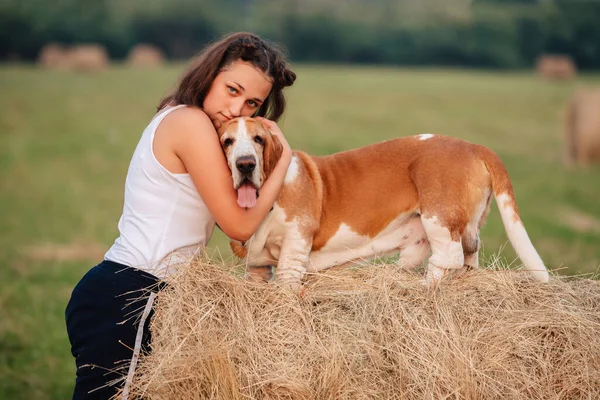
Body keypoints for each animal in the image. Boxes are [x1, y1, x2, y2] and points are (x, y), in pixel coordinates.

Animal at [218, 115, 552, 288]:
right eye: (227, 142)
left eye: (259, 139)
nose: (245, 164)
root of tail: (473, 146)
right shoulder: (258, 263)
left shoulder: (295, 243)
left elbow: (288, 276)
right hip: (459, 229)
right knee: (469, 254)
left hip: (438, 216)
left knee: (448, 258)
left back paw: (423, 288)